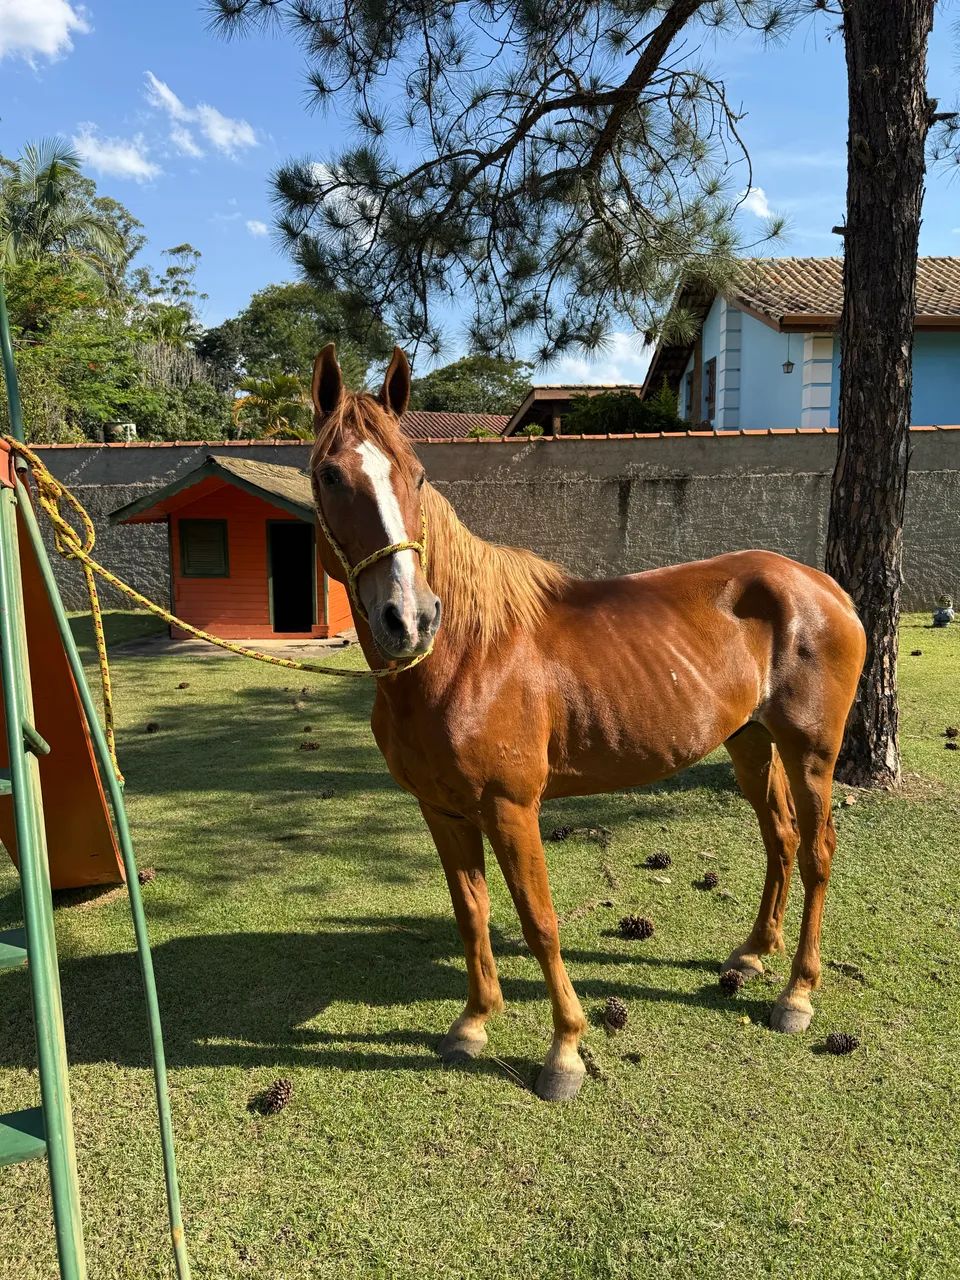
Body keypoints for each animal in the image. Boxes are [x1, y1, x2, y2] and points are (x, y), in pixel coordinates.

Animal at [308, 343, 867, 1102]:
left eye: (417, 474)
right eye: (329, 475)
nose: (409, 618)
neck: (465, 655)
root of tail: (823, 586)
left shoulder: (511, 807)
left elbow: (539, 922)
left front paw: (565, 1051)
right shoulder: (442, 810)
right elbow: (471, 912)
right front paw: (473, 1023)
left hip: (811, 752)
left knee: (815, 854)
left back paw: (797, 994)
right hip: (751, 745)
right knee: (779, 841)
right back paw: (753, 954)